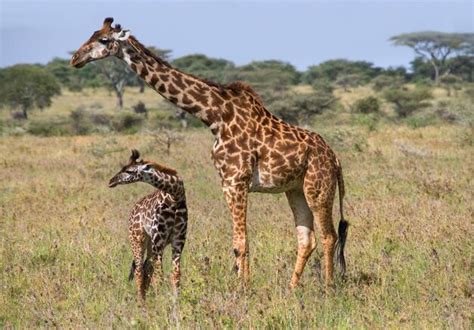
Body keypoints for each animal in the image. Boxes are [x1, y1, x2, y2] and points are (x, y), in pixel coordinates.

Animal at [109, 150, 187, 302]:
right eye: (123, 168)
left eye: (129, 171)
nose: (111, 181)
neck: (175, 196)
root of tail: (133, 211)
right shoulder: (159, 241)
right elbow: (159, 276)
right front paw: (160, 302)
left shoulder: (178, 241)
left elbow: (176, 274)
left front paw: (176, 301)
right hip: (138, 239)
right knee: (139, 269)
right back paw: (141, 301)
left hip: (151, 244)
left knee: (146, 268)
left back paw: (144, 298)